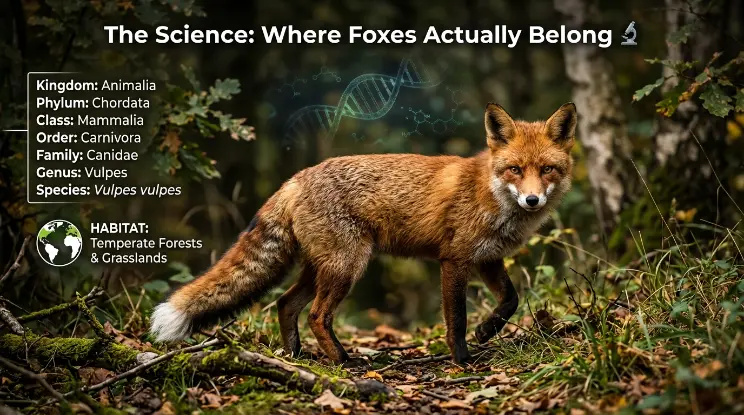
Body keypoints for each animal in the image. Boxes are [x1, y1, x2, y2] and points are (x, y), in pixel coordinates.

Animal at [150, 102, 577, 364]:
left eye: (547, 169)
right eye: (515, 169)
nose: (533, 200)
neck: (492, 195)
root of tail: (296, 177)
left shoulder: (488, 258)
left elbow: (511, 301)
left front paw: (488, 331)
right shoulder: (454, 260)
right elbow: (456, 319)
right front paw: (462, 360)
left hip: (322, 268)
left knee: (285, 304)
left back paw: (296, 356)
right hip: (347, 266)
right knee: (317, 315)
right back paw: (342, 360)